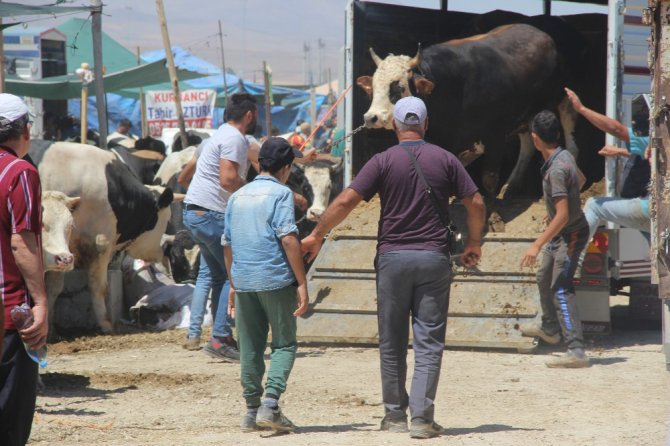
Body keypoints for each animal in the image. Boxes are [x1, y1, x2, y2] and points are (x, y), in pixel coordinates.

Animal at [38, 141, 176, 332]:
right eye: (167, 220)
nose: (162, 254)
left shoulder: (62, 249)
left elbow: (53, 286)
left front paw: (50, 326)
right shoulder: (99, 243)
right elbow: (99, 287)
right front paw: (105, 324)